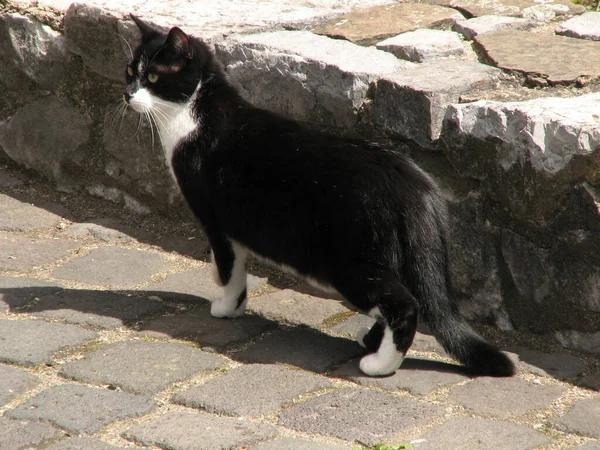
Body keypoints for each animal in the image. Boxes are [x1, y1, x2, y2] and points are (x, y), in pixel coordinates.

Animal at [124, 15, 512, 378]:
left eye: (153, 77)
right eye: (130, 71)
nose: (128, 93)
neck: (192, 114)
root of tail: (413, 183)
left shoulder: (216, 221)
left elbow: (228, 270)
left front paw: (225, 307)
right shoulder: (239, 226)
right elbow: (239, 268)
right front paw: (235, 305)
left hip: (348, 264)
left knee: (404, 304)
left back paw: (379, 364)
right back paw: (370, 341)